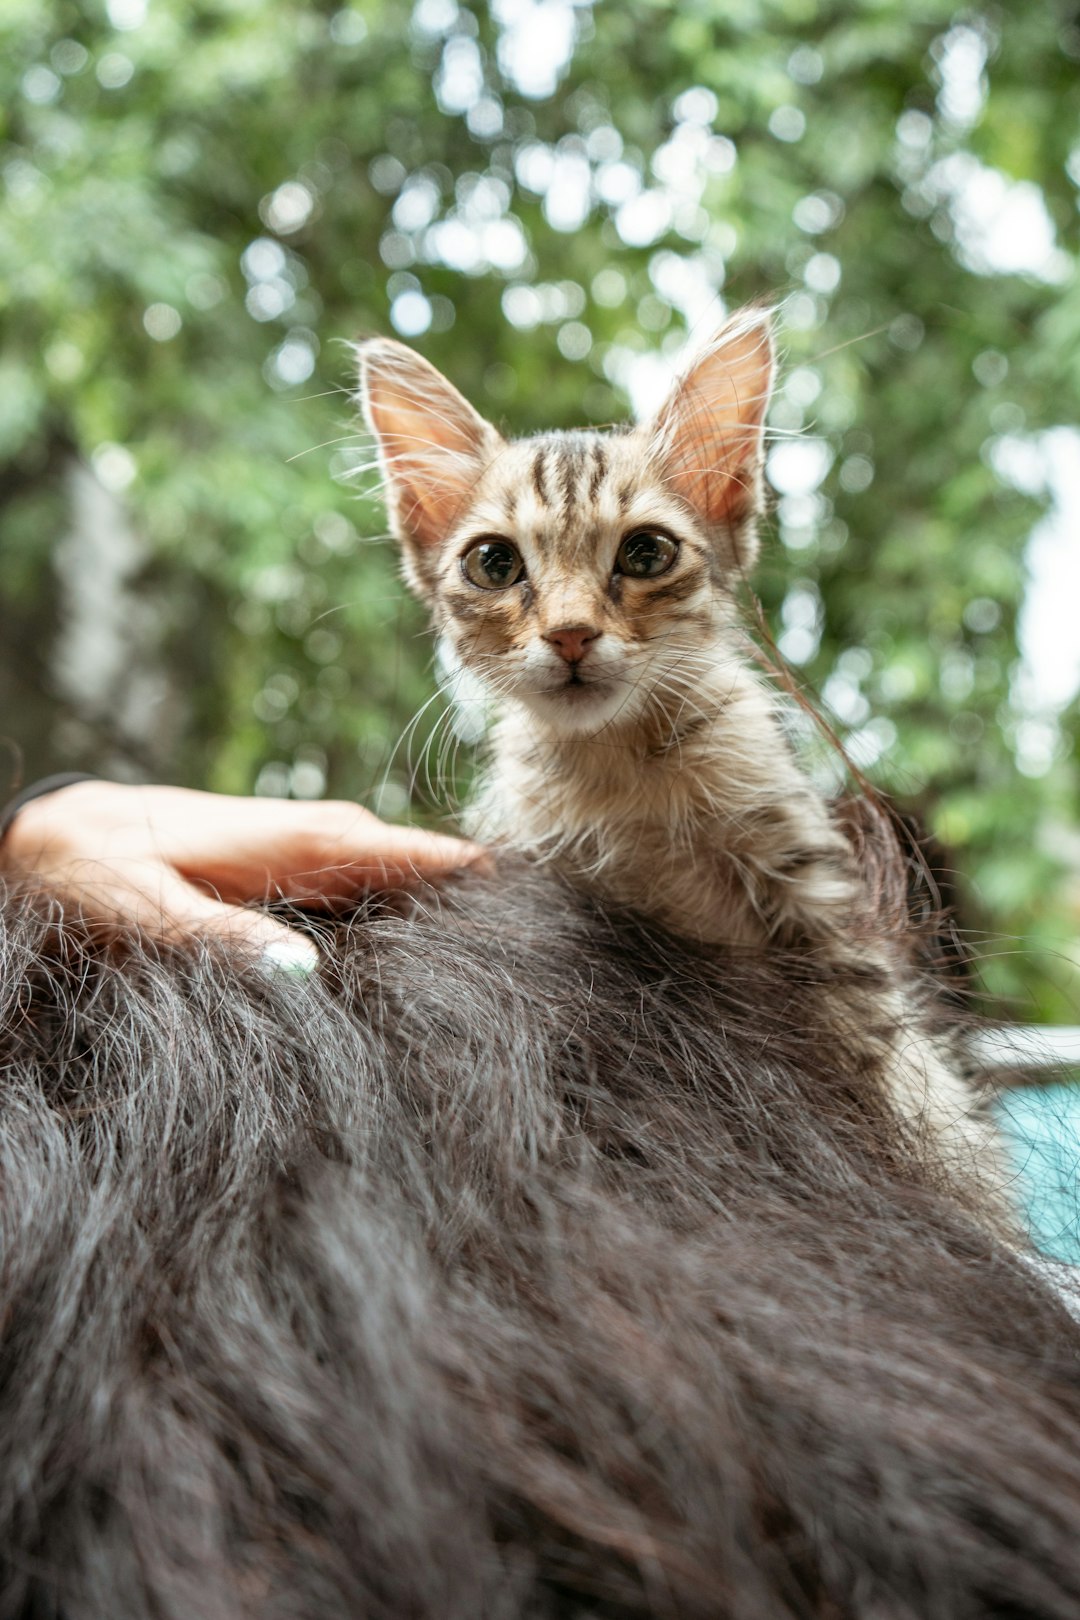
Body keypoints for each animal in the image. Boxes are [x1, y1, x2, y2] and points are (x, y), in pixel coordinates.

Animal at [359, 309, 1010, 1211]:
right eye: (494, 563)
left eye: (644, 555)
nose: (570, 634)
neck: (623, 772)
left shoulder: (817, 907)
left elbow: (878, 1066)